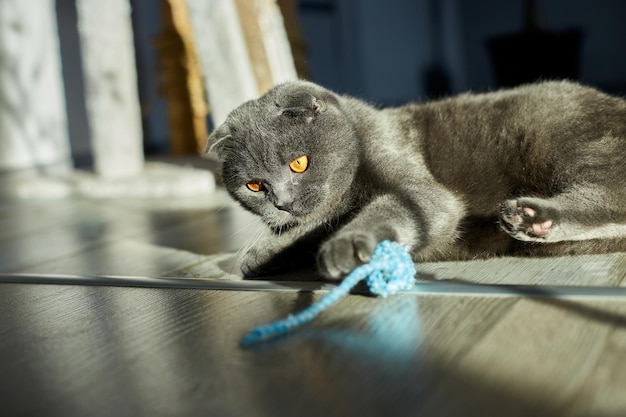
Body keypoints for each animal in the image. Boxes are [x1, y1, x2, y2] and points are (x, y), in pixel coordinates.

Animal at [205, 79, 624, 278]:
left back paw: (531, 218)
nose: (283, 203)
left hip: (567, 137)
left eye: (299, 164)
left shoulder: (416, 186)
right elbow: (307, 230)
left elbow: (390, 210)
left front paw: (346, 246)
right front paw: (261, 254)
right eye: (255, 186)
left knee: (609, 196)